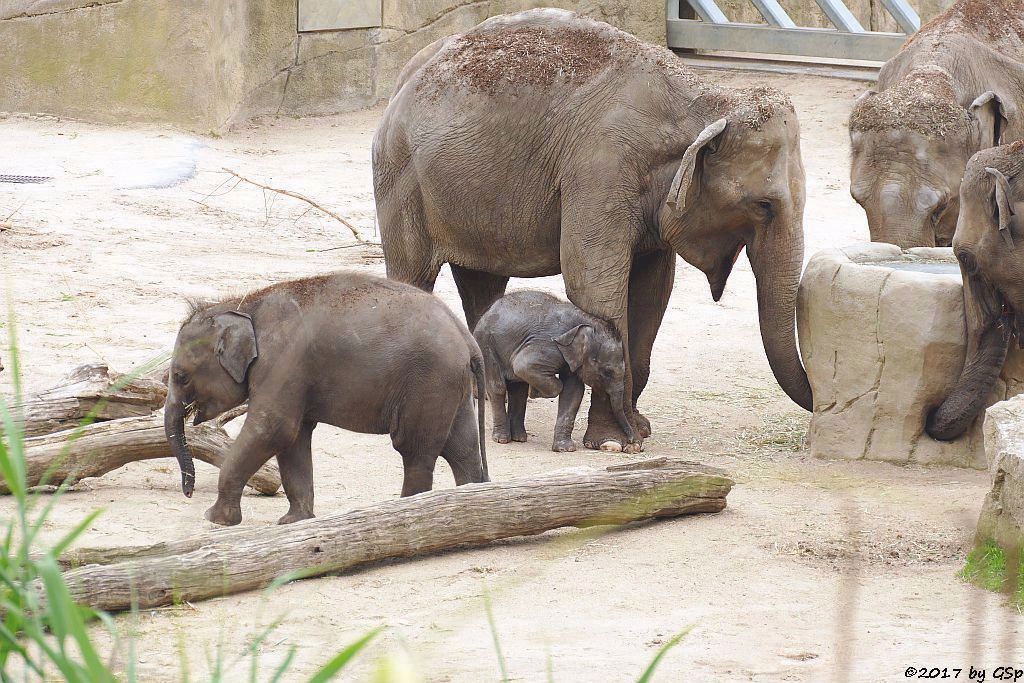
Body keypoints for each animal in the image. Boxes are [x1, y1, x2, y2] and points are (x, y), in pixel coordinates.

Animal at [161, 270, 489, 528]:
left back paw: (406, 509)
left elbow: (273, 429)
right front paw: (294, 522)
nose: (188, 492)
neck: (242, 304)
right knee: (462, 449)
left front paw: (214, 519)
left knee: (415, 450)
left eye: (180, 376)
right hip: (451, 387)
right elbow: (294, 438)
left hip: (429, 382)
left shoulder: (282, 361)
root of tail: (468, 339)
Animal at [473, 290, 634, 454]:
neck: (585, 322)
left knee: (518, 391)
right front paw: (536, 392)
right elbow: (523, 365)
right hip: (486, 345)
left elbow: (574, 391)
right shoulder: (548, 344)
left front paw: (565, 449)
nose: (631, 441)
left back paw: (519, 438)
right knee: (498, 387)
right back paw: (502, 439)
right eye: (607, 372)